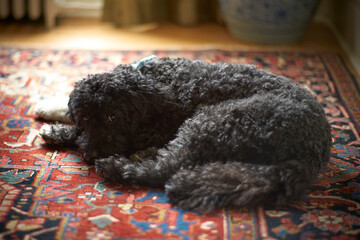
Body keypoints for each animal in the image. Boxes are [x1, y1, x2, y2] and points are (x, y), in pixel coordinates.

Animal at [40, 57, 332, 211]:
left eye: (113, 117)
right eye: (86, 117)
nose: (91, 155)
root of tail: (314, 152)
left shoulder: (155, 129)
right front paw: (55, 124)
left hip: (213, 119)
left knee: (167, 168)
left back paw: (119, 166)